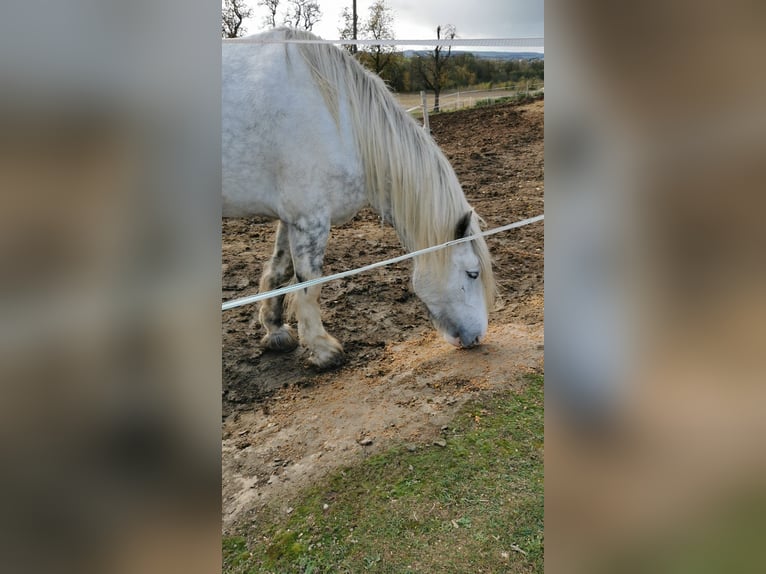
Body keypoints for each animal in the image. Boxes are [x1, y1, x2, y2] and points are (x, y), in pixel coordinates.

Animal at [222, 28, 495, 369]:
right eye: (472, 273)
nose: (477, 336)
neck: (340, 120)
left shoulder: (291, 217)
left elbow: (280, 271)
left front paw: (275, 331)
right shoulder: (310, 219)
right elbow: (309, 283)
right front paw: (323, 350)